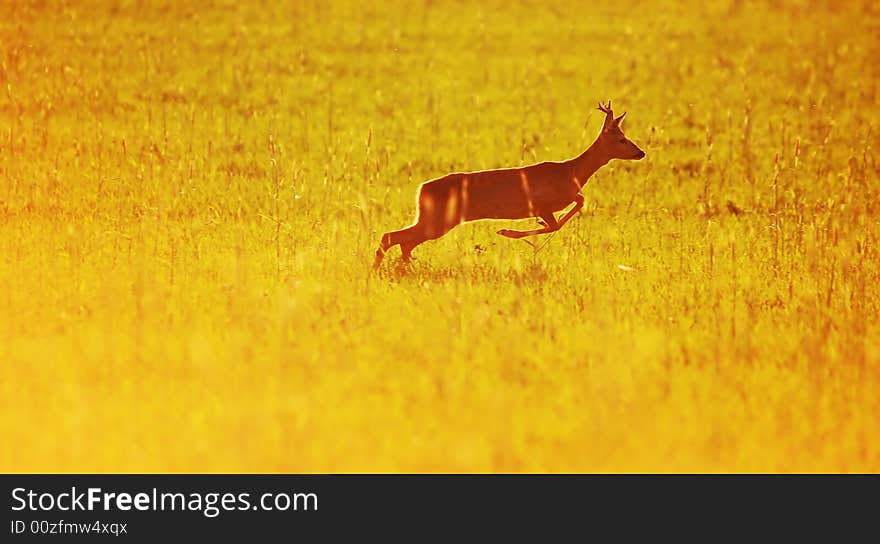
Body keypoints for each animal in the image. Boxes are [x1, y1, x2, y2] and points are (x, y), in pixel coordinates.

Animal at [372, 101, 648, 268]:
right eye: (621, 139)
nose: (641, 153)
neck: (572, 171)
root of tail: (421, 189)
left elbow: (573, 207)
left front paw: (511, 232)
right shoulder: (542, 204)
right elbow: (559, 220)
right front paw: (508, 232)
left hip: (436, 219)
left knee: (403, 241)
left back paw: (403, 265)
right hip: (439, 219)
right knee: (392, 237)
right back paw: (379, 268)